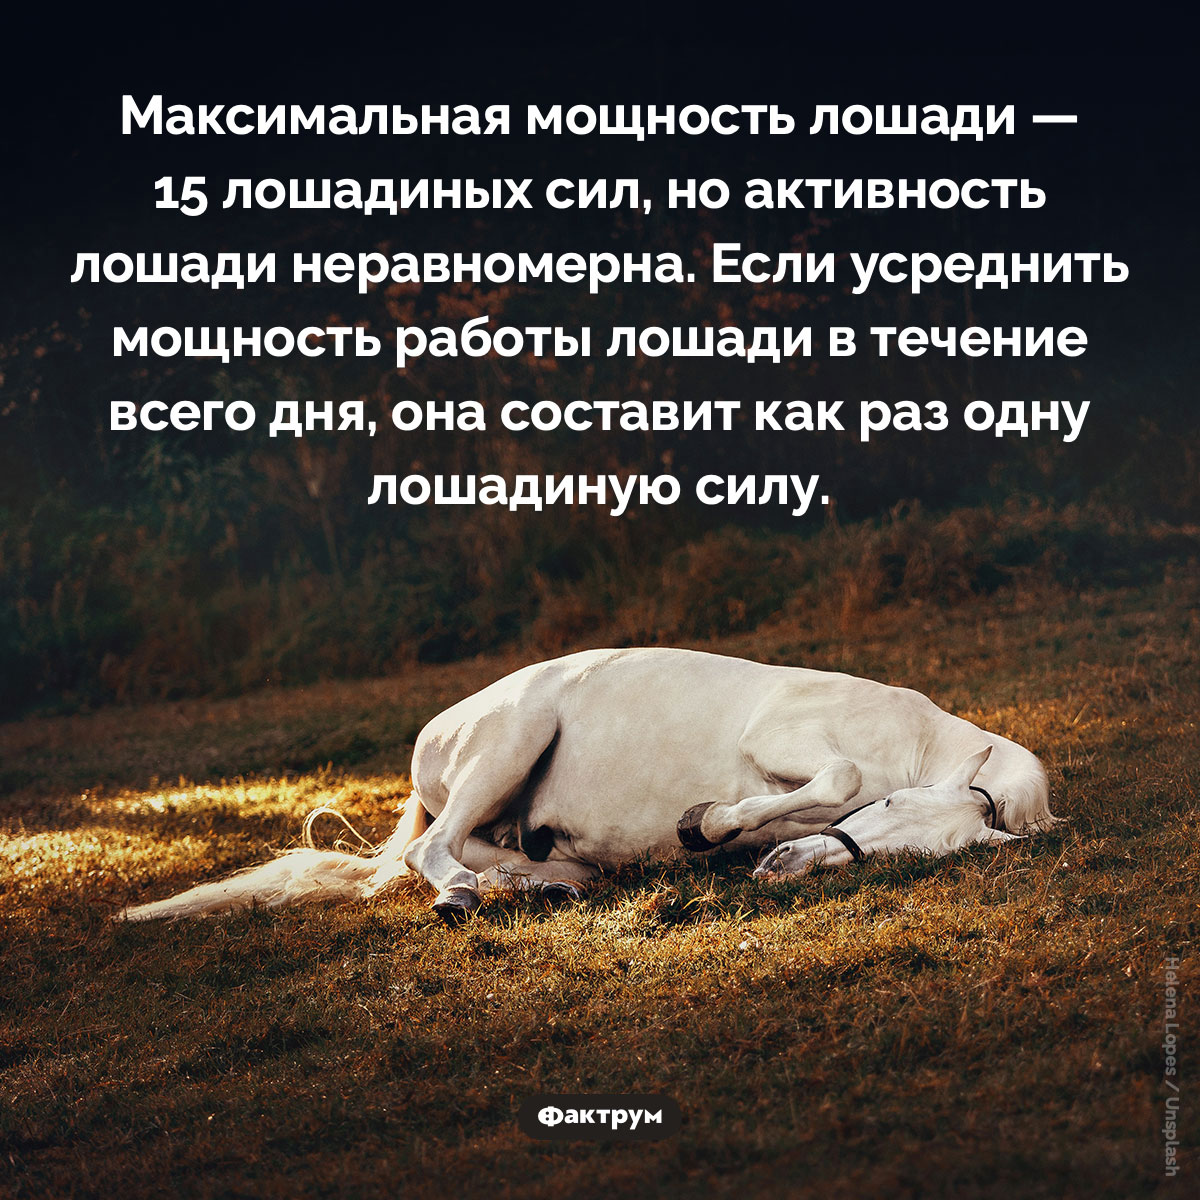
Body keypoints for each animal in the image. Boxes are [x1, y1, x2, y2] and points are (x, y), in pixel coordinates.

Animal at [120, 647, 1056, 924]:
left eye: (906, 858)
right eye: (888, 809)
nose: (780, 871)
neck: (916, 739)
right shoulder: (786, 741)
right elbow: (833, 775)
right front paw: (706, 822)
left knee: (501, 857)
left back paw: (531, 887)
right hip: (511, 738)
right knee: (433, 852)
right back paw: (460, 896)